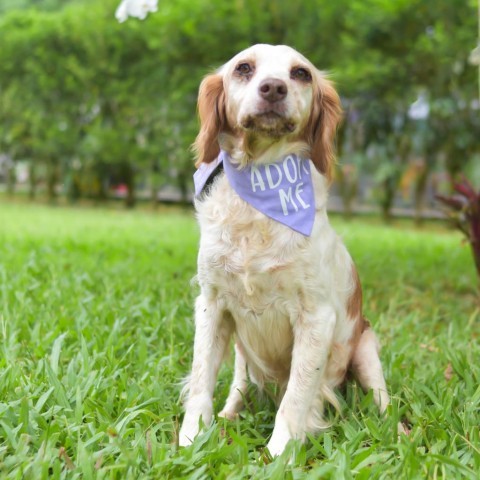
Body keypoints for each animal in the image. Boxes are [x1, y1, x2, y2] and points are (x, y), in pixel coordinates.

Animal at [179, 43, 390, 456]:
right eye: (243, 68)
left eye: (301, 73)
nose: (274, 88)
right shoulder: (211, 303)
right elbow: (200, 380)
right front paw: (191, 438)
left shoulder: (316, 317)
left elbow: (296, 396)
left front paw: (280, 452)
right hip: (241, 351)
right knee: (239, 384)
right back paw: (230, 414)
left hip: (366, 348)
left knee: (381, 398)